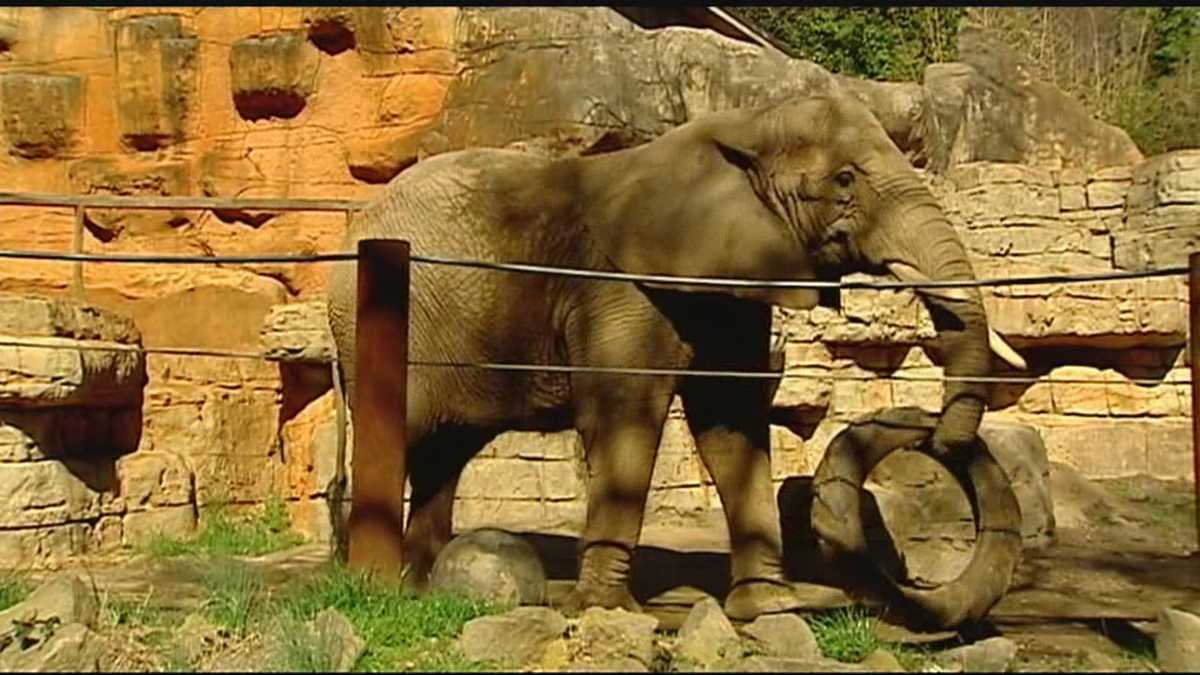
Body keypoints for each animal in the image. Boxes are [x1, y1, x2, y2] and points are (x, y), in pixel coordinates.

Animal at [326, 93, 1027, 622]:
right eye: (845, 181)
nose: (941, 441)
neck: (741, 126)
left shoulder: (732, 279)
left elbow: (732, 419)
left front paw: (768, 611)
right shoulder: (621, 286)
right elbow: (625, 415)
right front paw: (610, 611)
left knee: (445, 451)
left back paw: (423, 589)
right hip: (376, 319)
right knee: (406, 435)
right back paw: (375, 584)